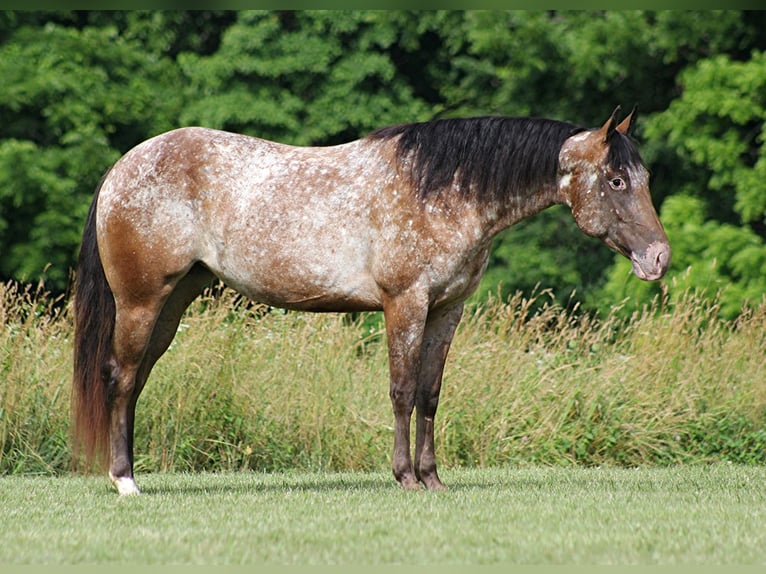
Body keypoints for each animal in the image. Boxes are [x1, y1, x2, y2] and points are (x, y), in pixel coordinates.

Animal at [72, 107, 672, 496]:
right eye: (616, 180)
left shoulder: (447, 310)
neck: (442, 191)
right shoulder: (405, 304)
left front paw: (433, 479)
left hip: (172, 304)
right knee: (120, 377)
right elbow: (402, 391)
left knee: (135, 381)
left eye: (642, 176)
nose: (659, 257)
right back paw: (125, 482)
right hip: (142, 302)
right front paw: (404, 478)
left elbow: (430, 394)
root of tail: (122, 168)